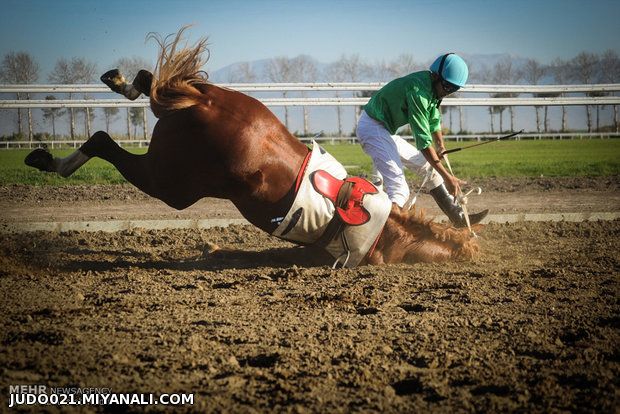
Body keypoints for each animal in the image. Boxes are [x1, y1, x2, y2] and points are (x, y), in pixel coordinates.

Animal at [25, 28, 480, 266]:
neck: (390, 230)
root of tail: (204, 101)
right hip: (174, 185)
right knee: (104, 139)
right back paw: (51, 159)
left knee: (150, 84)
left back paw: (122, 83)